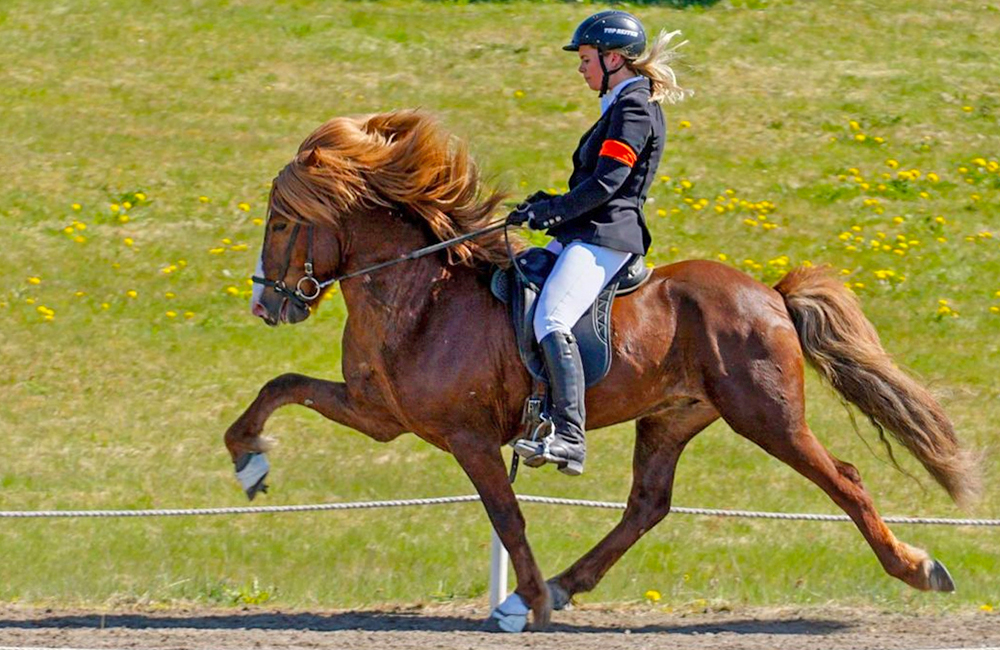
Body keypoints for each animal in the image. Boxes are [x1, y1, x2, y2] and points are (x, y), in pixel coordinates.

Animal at [225, 109, 976, 632]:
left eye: (282, 222)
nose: (267, 303)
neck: (421, 297)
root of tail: (769, 294)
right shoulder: (380, 414)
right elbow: (280, 387)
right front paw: (249, 462)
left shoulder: (469, 437)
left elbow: (507, 517)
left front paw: (526, 604)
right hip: (672, 417)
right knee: (647, 505)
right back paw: (565, 583)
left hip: (765, 415)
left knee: (843, 481)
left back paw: (918, 568)